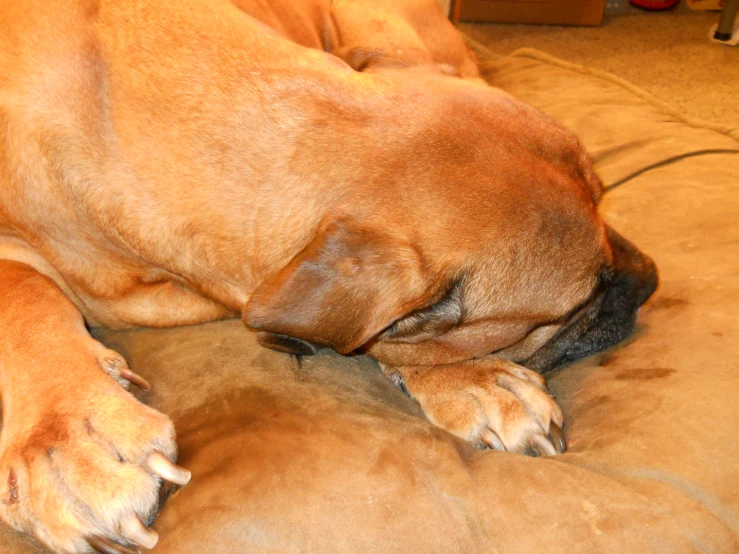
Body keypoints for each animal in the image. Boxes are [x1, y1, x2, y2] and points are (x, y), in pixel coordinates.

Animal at [0, 0, 660, 548]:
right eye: (585, 296)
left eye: (605, 197)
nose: (653, 278)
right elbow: (25, 295)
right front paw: (68, 436)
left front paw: (469, 377)